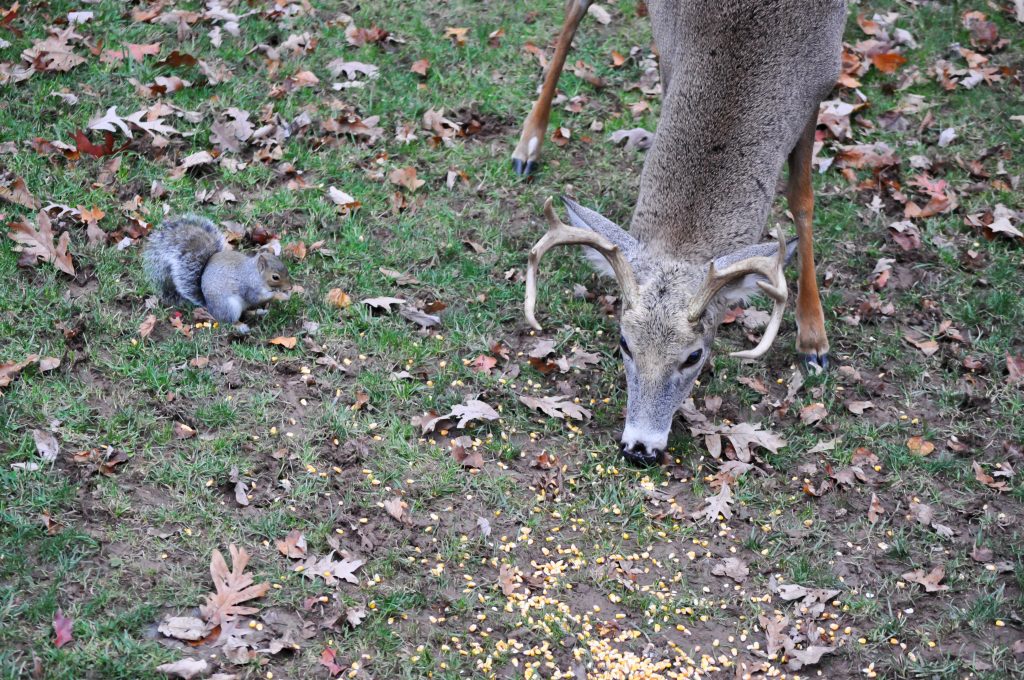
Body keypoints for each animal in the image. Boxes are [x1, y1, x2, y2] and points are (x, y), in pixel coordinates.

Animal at [516, 0, 847, 465]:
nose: (640, 447)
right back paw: (527, 146)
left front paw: (814, 338)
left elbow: (802, 198)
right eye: (624, 343)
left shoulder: (821, 78)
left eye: (694, 355)